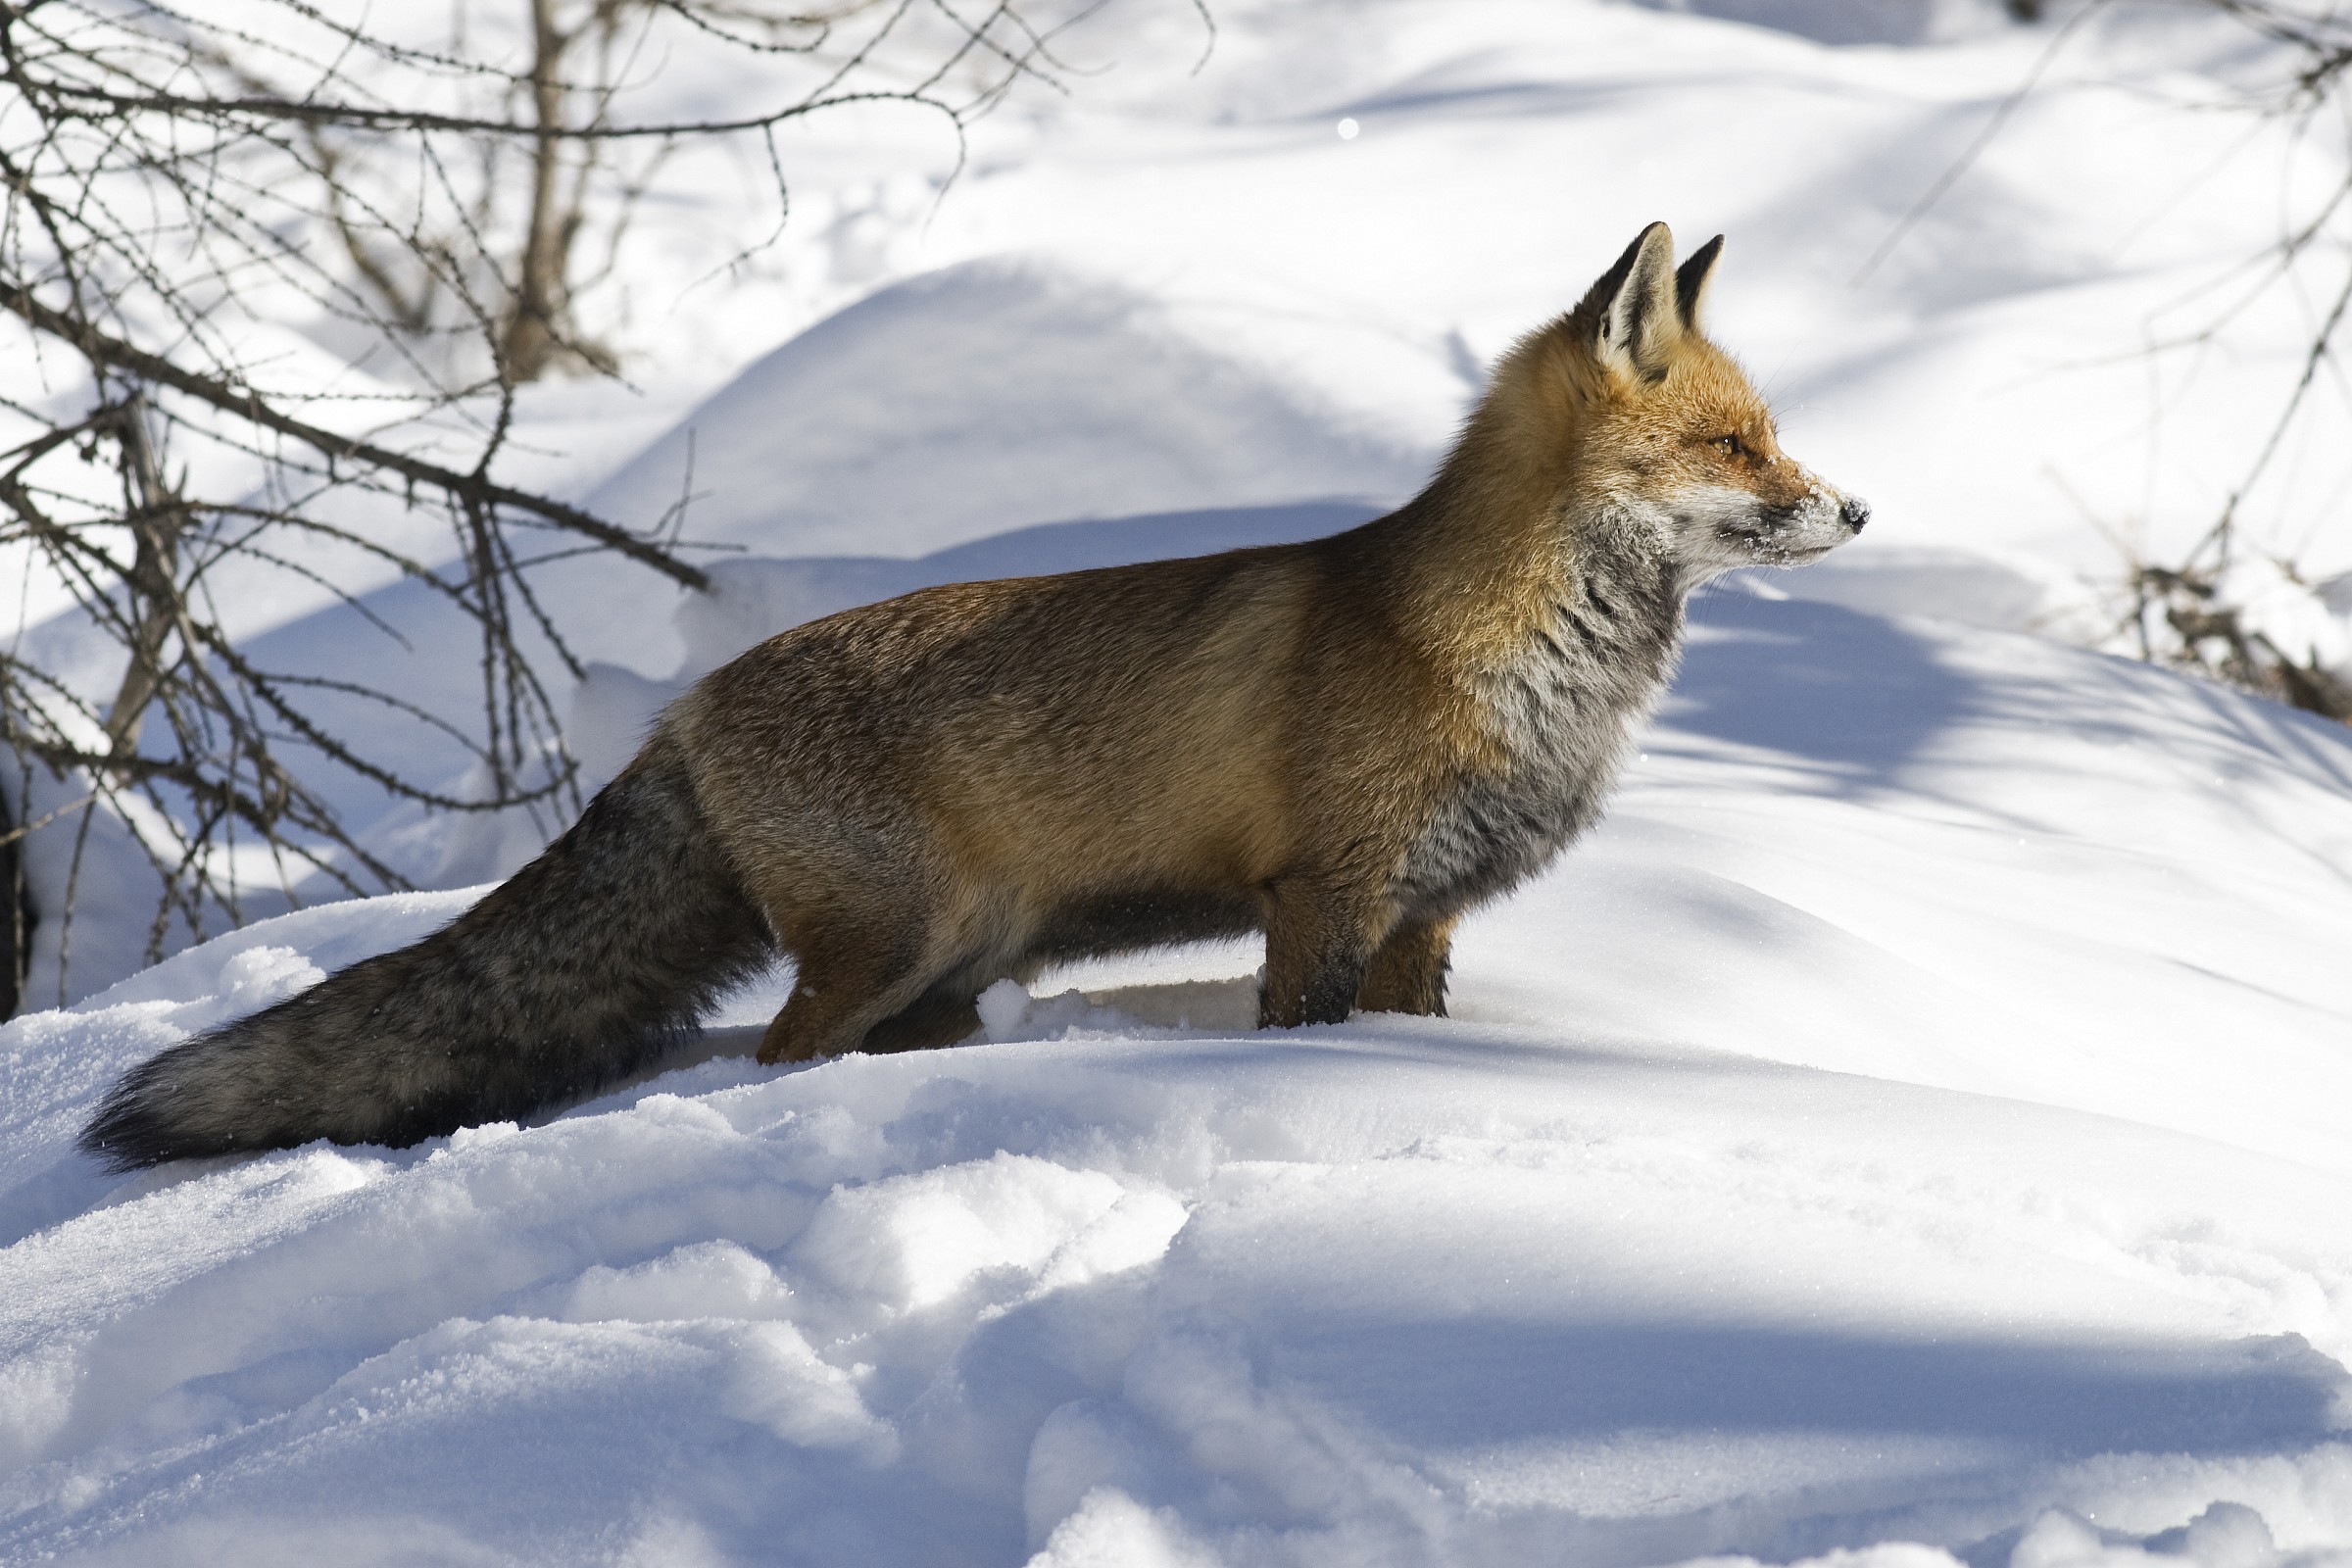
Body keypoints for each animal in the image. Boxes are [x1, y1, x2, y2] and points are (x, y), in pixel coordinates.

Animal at [81, 222, 1865, 1170]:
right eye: (1733, 447)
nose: (1856, 512)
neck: (1510, 654)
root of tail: (682, 708)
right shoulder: (1323, 895)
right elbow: (1302, 1029)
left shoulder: (1422, 911)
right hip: (889, 944)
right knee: (774, 1058)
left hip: (946, 968)